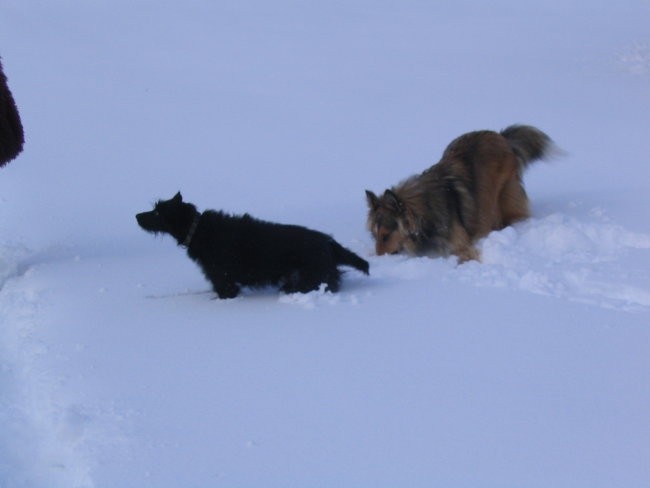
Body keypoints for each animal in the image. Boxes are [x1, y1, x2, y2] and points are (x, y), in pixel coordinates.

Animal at [135, 193, 370, 300]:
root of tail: (329, 243)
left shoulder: (223, 280)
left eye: (157, 212)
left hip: (307, 279)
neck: (198, 229)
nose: (137, 216)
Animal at [364, 126, 552, 264]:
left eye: (386, 236)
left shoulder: (462, 246)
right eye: (374, 236)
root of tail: (500, 136)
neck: (424, 214)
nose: (379, 260)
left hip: (503, 198)